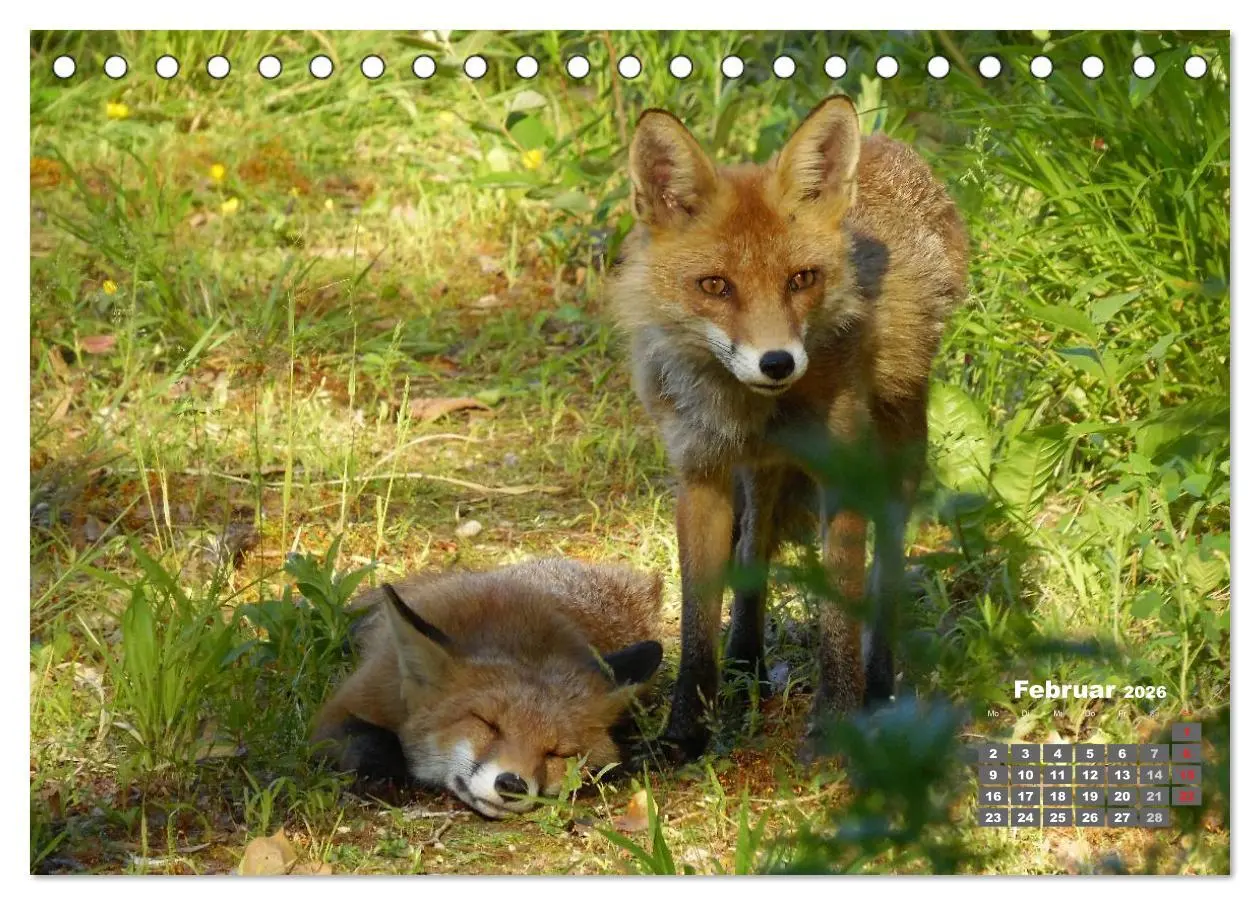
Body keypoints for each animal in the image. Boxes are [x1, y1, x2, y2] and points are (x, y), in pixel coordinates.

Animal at [311, 558, 664, 818]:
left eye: (557, 753)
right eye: (488, 724)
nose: (512, 784)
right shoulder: (349, 705)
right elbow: (373, 740)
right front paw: (383, 777)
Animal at [606, 95, 968, 761]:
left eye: (802, 279)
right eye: (715, 285)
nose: (777, 363)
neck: (750, 409)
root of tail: (889, 142)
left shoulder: (844, 475)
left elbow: (840, 619)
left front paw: (836, 721)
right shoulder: (700, 475)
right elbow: (697, 623)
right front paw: (685, 735)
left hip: (900, 452)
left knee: (884, 577)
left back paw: (879, 686)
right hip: (760, 471)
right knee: (754, 547)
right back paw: (746, 662)